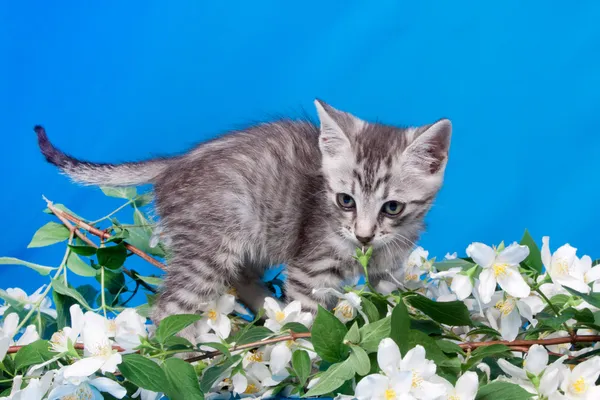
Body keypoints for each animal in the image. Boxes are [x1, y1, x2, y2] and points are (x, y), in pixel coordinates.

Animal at [35, 100, 452, 340]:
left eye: (392, 208)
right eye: (345, 201)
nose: (364, 236)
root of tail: (175, 163)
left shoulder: (388, 269)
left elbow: (398, 301)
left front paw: (426, 324)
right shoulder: (310, 268)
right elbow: (309, 316)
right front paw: (311, 353)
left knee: (241, 276)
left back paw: (268, 309)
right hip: (210, 248)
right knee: (168, 311)